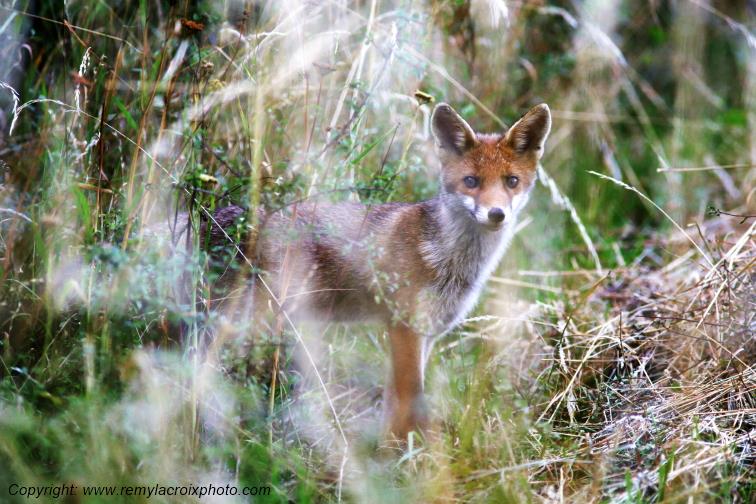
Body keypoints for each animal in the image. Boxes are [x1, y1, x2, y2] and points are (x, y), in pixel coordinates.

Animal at [195, 102, 552, 442]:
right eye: (471, 182)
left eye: (511, 181)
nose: (497, 214)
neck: (447, 260)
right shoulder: (404, 328)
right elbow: (411, 402)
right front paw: (413, 456)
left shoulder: (426, 333)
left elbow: (395, 405)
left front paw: (388, 451)